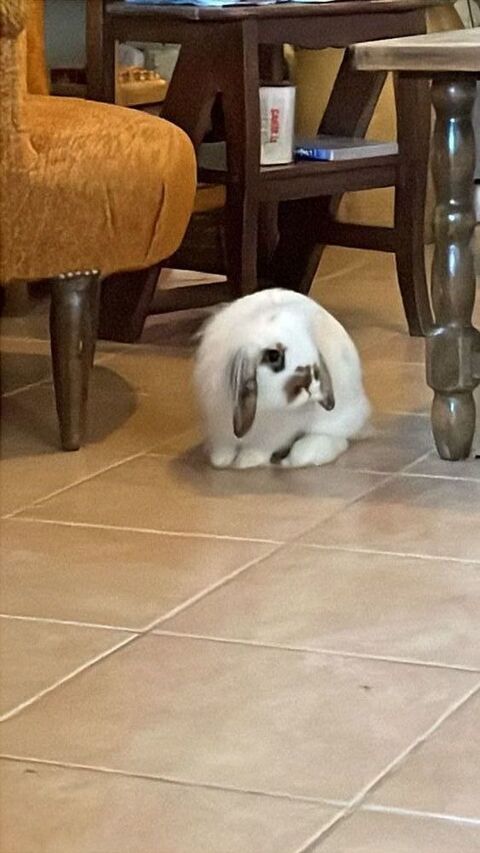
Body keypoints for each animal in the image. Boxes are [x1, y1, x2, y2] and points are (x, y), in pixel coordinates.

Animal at [194, 289, 371, 469]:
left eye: (312, 348)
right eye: (273, 355)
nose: (310, 385)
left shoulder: (276, 432)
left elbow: (261, 448)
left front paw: (247, 461)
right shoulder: (219, 424)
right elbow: (224, 446)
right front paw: (220, 460)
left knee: (336, 440)